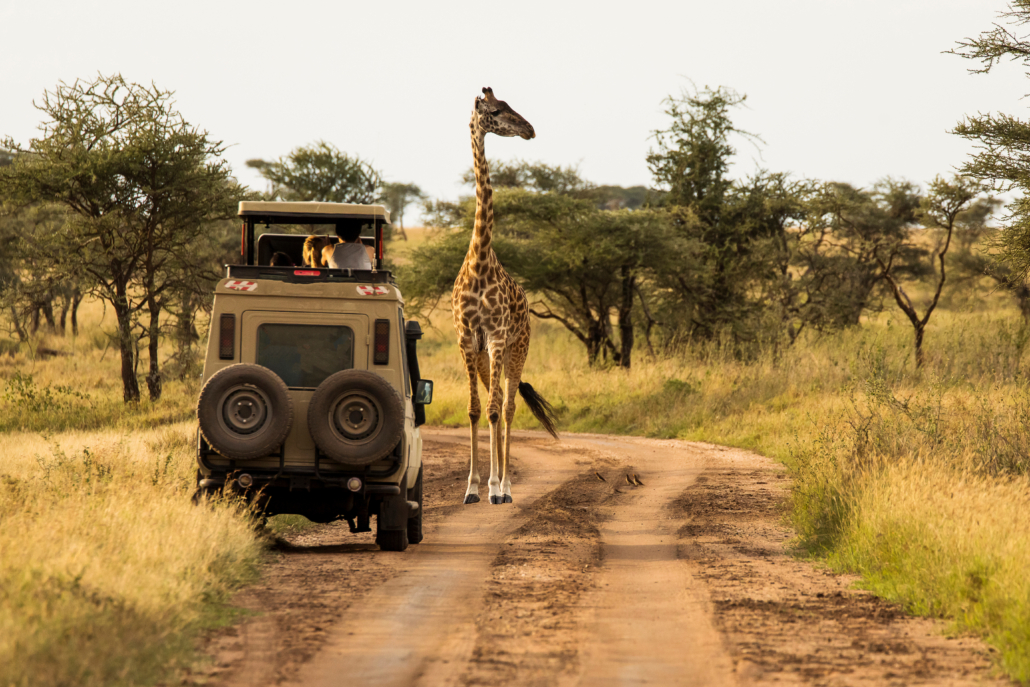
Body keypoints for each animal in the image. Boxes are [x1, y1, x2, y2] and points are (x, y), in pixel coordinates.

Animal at [453, 87, 559, 506]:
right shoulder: (469, 340)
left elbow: (497, 409)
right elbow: (474, 409)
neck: (480, 261)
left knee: (510, 406)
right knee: (495, 402)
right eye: (496, 111)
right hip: (486, 357)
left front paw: (496, 488)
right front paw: (471, 489)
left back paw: (507, 487)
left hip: (518, 350)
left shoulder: (498, 339)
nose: (529, 129)